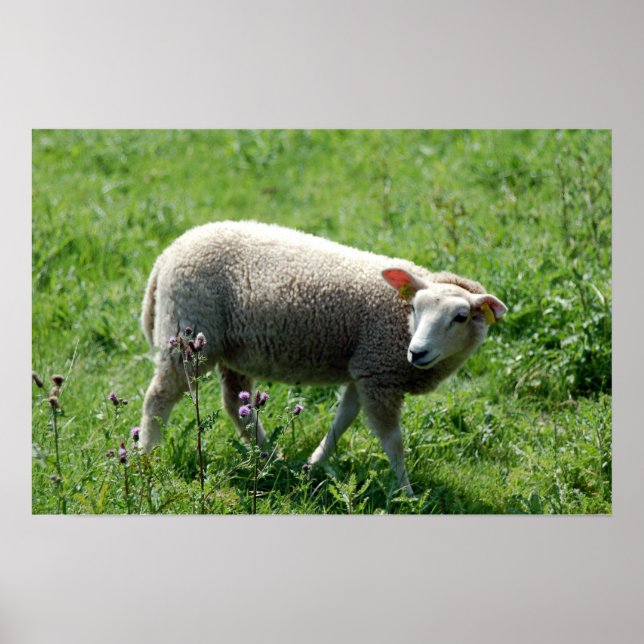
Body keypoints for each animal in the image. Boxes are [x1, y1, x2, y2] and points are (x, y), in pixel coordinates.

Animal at [139, 220, 507, 495]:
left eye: (461, 317)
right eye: (415, 307)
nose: (418, 352)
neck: (400, 325)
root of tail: (168, 253)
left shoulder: (364, 369)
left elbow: (341, 421)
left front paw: (311, 466)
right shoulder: (379, 373)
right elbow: (393, 442)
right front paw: (407, 493)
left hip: (231, 350)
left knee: (235, 405)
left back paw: (271, 458)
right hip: (188, 335)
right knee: (158, 399)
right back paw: (147, 459)